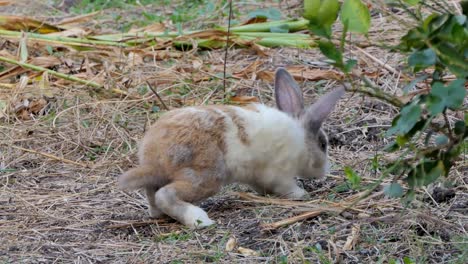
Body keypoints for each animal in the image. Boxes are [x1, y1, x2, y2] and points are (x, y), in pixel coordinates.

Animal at [119, 68, 346, 229]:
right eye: (323, 145)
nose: (325, 170)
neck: (300, 139)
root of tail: (155, 156)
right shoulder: (280, 173)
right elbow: (286, 186)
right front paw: (301, 194)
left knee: (152, 195)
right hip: (206, 176)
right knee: (165, 195)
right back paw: (200, 220)